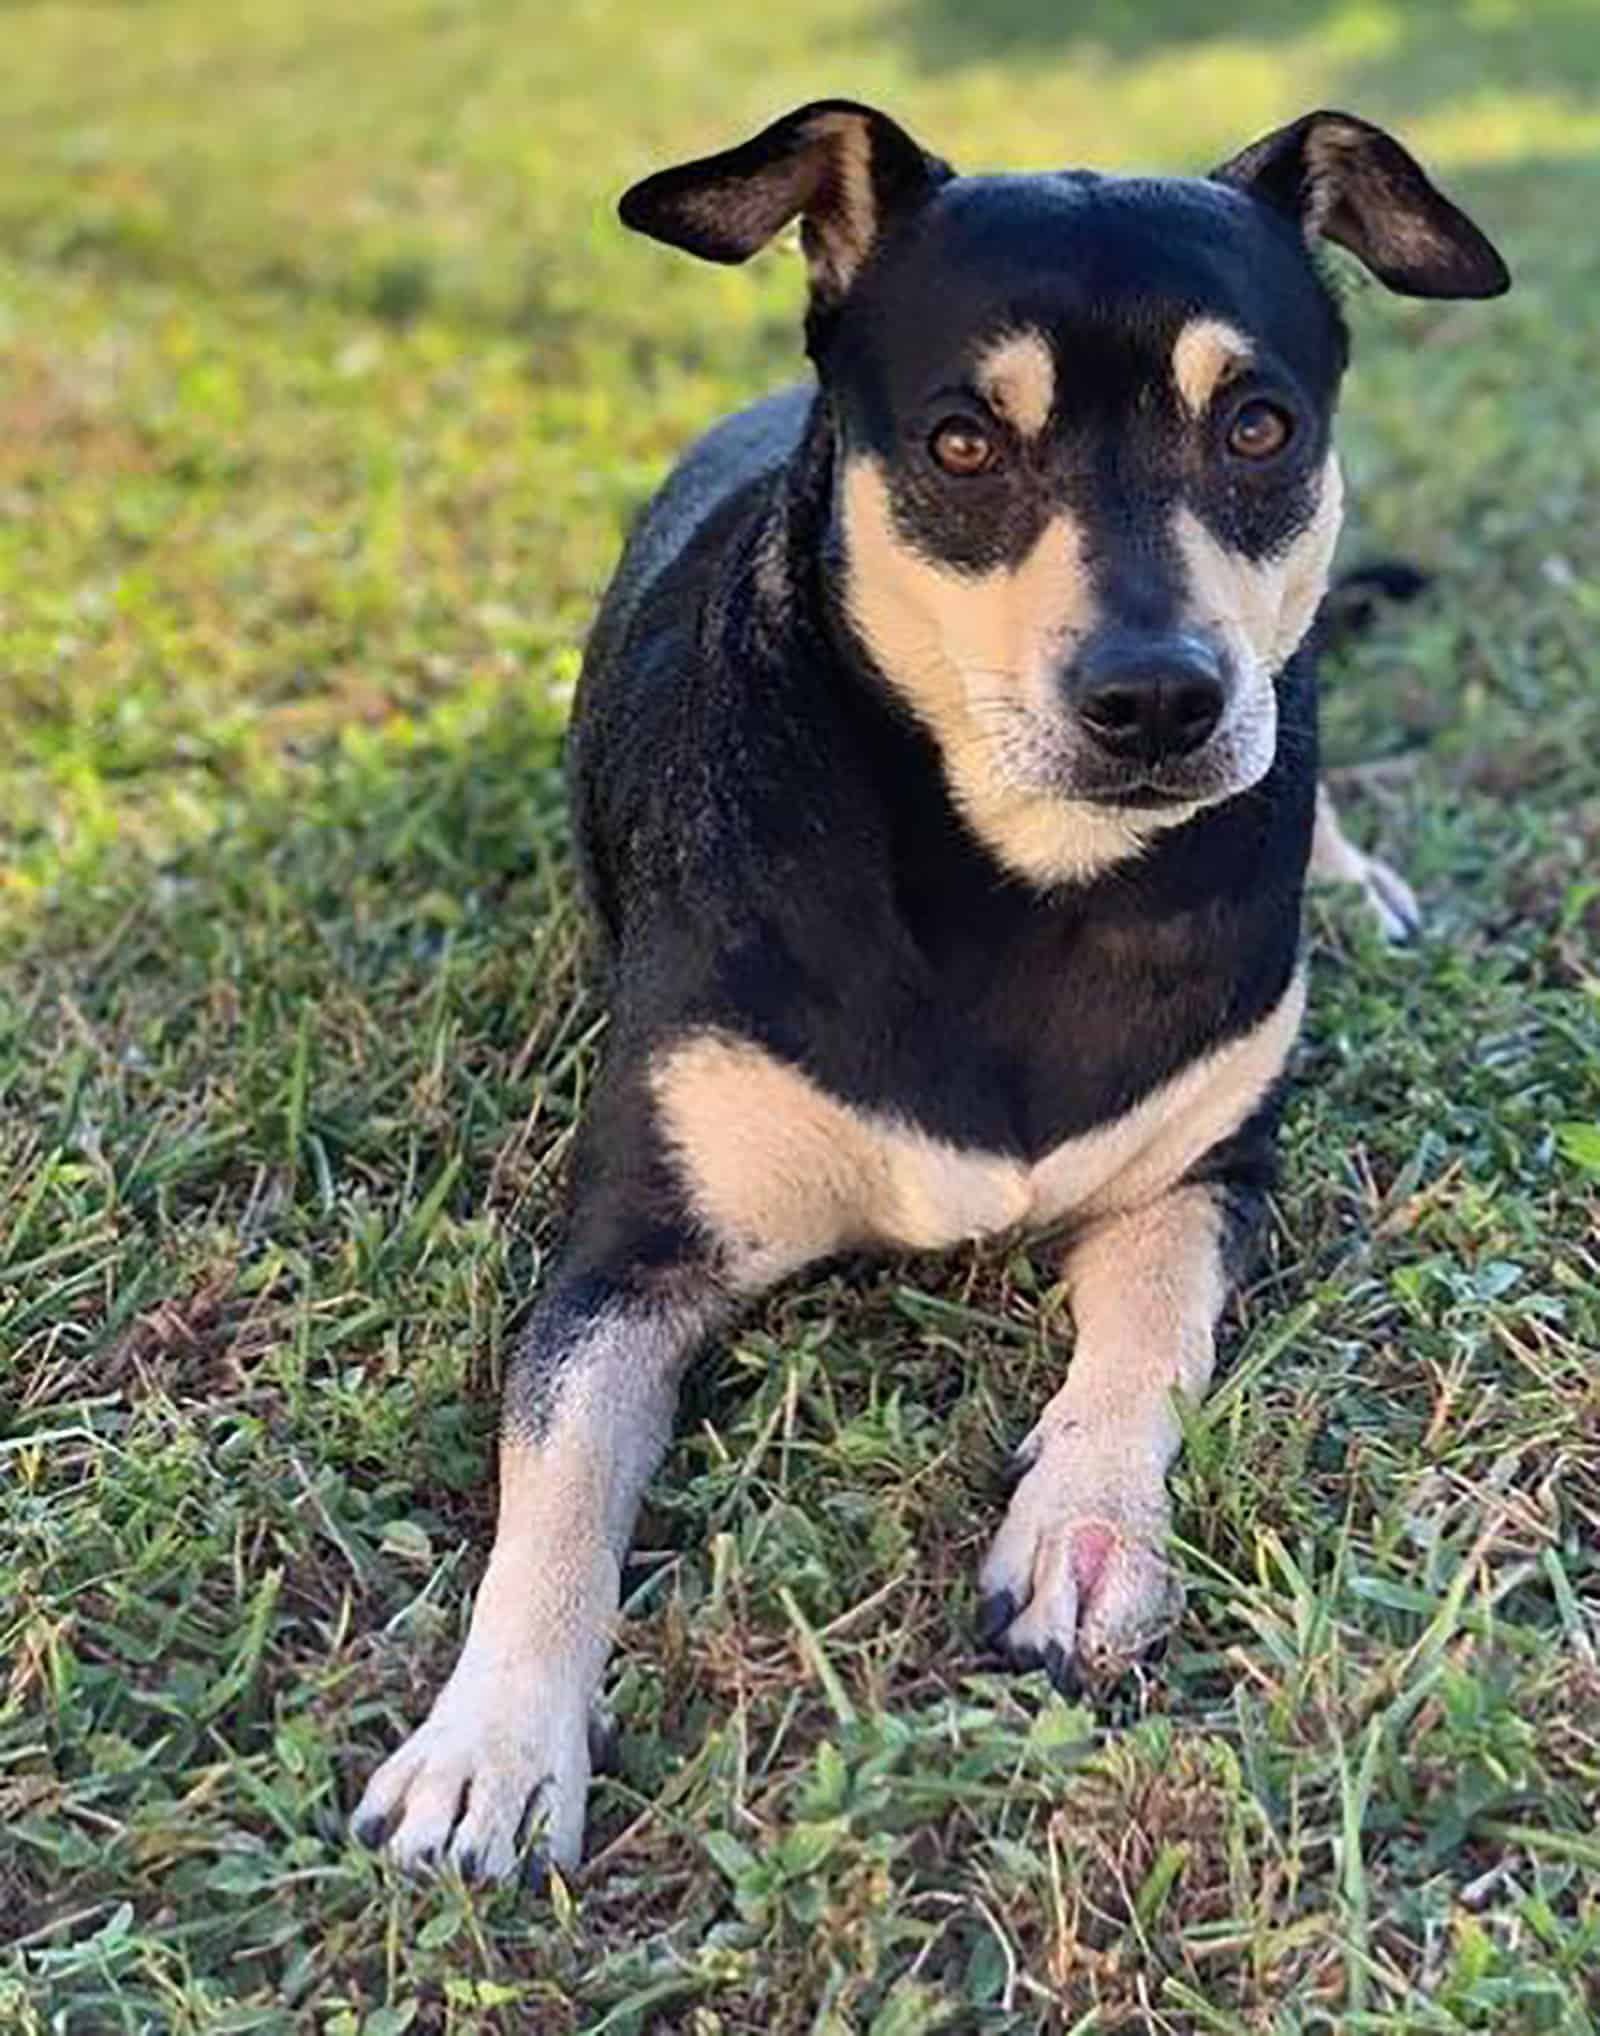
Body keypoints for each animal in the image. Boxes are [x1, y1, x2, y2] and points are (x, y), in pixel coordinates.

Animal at [346, 95, 1498, 1873]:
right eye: (961, 443)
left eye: (1258, 427)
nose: (1158, 699)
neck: (1018, 876)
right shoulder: (628, 1254)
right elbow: (556, 1475)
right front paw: (494, 1738)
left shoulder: (1208, 1174)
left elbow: (1153, 1336)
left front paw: (1090, 1526)